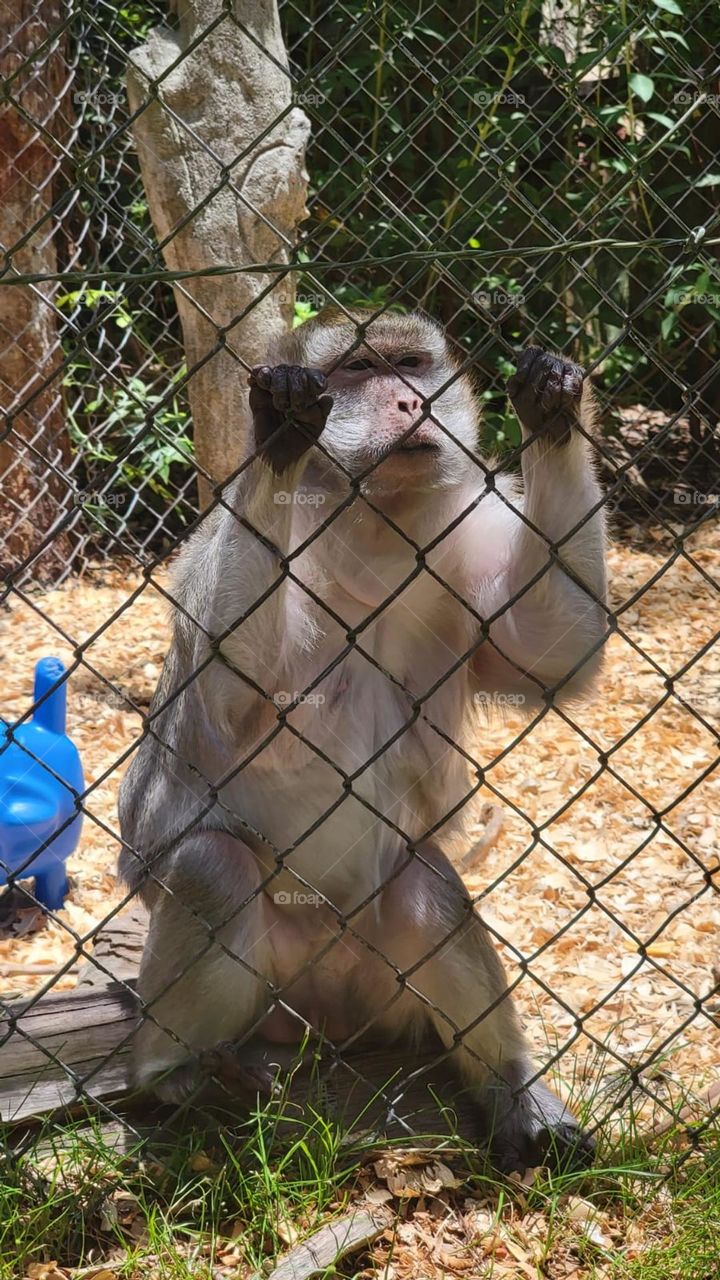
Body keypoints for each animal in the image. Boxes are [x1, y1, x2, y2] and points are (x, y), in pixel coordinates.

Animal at [118, 307, 608, 1174]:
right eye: (358, 370)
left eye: (410, 365)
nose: (409, 404)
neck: (375, 516)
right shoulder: (222, 538)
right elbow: (230, 701)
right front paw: (280, 429)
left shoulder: (475, 525)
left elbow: (549, 654)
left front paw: (553, 408)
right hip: (277, 997)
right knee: (214, 867)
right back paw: (175, 1079)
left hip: (384, 994)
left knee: (421, 882)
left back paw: (510, 1091)